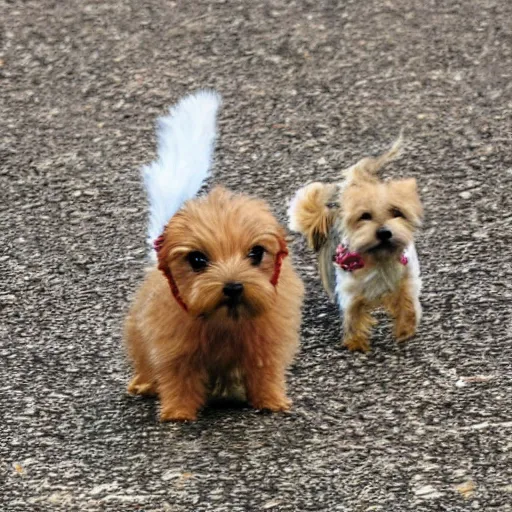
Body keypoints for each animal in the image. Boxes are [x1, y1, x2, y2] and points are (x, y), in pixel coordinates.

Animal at [124, 91, 304, 420]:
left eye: (256, 253)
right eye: (197, 260)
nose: (233, 287)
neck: (224, 322)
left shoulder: (265, 347)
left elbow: (266, 374)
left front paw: (271, 402)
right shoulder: (175, 350)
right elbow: (178, 380)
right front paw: (178, 413)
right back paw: (144, 384)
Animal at [288, 138, 424, 354]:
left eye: (397, 212)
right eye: (364, 216)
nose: (384, 232)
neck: (379, 258)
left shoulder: (406, 278)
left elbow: (407, 303)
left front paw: (405, 329)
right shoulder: (350, 288)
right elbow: (353, 314)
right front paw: (356, 342)